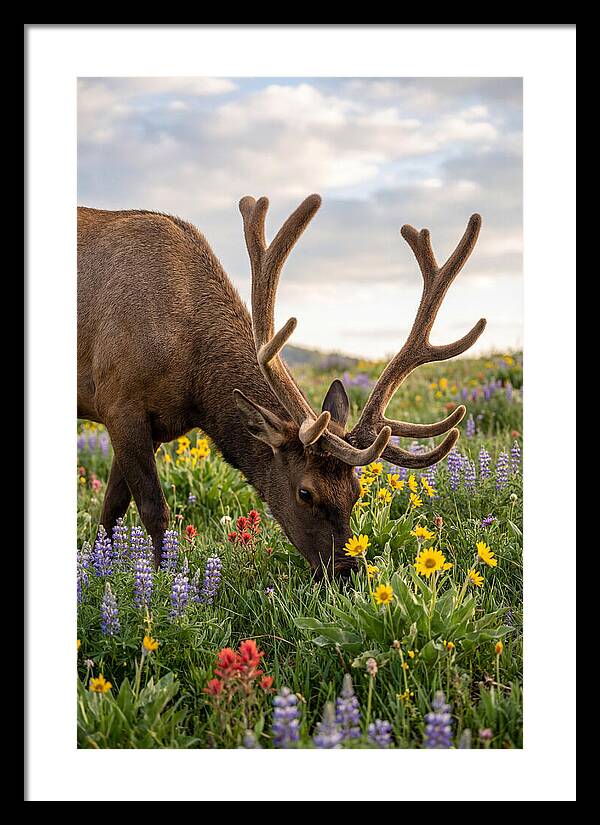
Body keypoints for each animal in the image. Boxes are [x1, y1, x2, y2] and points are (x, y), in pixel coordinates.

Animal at [77, 194, 486, 576]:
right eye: (305, 493)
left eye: (356, 491)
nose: (346, 572)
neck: (195, 385)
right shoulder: (119, 401)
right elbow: (152, 510)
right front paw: (159, 582)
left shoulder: (157, 425)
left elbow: (111, 511)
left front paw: (101, 569)